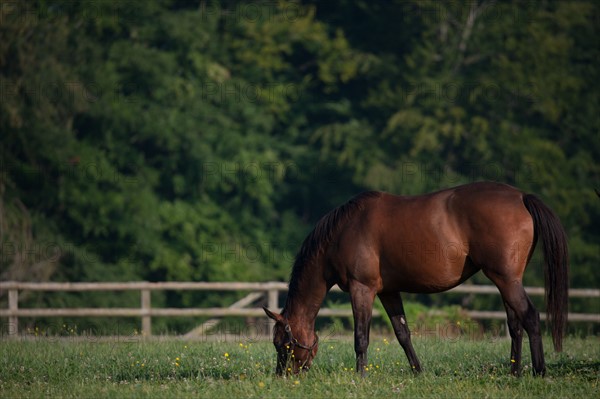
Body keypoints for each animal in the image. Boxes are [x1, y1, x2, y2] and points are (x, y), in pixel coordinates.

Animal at [264, 183, 568, 376]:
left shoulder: (362, 289)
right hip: (505, 280)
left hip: (506, 279)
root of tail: (522, 197)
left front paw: (360, 377)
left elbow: (361, 337)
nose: (283, 376)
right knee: (515, 325)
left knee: (530, 317)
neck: (342, 232)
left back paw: (539, 371)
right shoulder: (388, 292)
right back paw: (515, 371)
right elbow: (402, 333)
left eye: (283, 344)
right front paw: (418, 371)